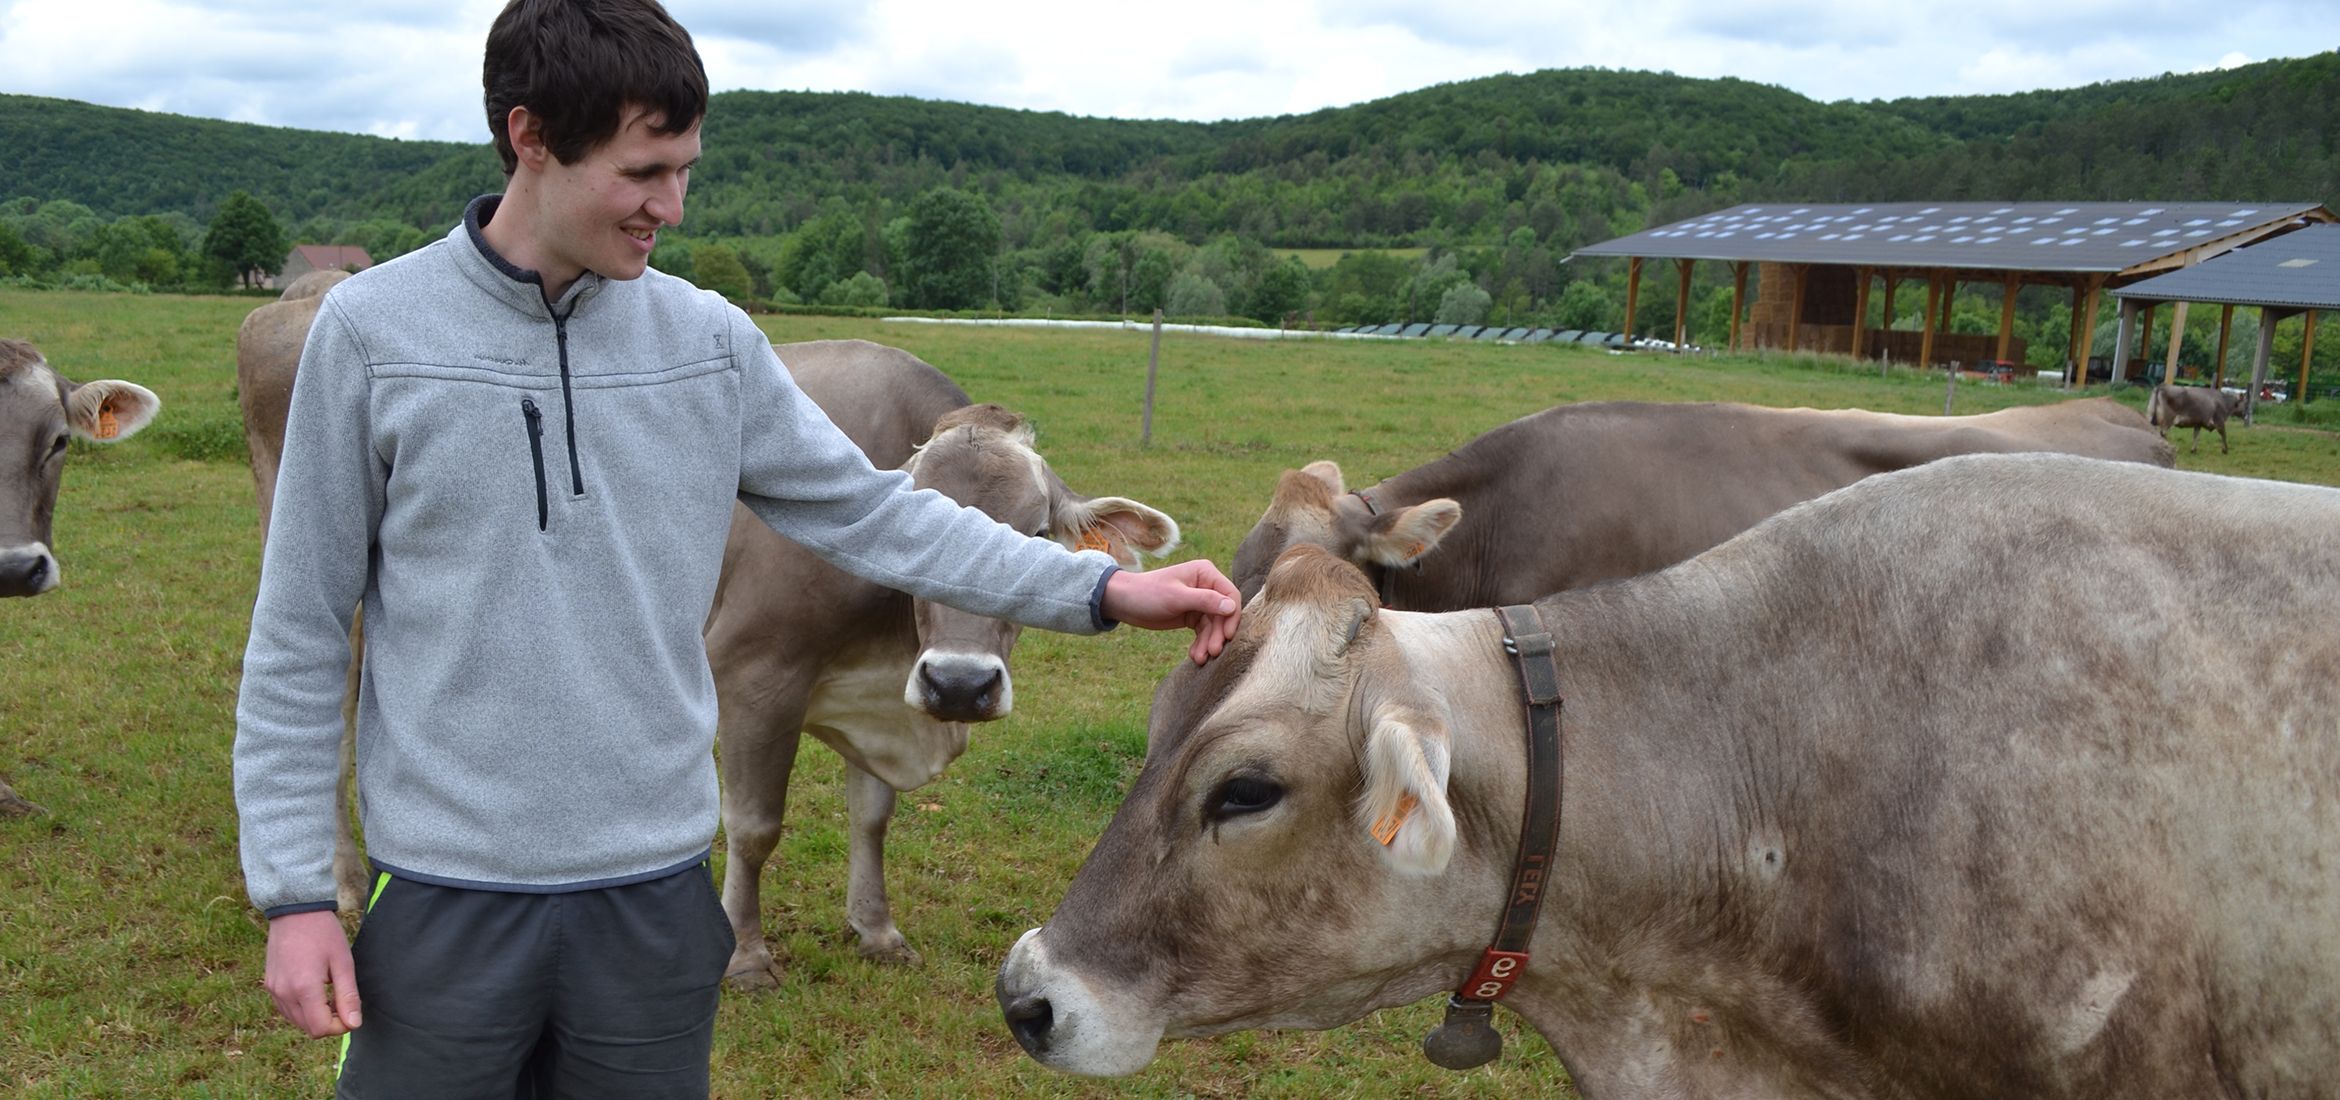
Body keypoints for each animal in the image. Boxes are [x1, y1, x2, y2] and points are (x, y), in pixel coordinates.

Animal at [711, 339, 1179, 982]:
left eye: (1037, 536)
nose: (960, 683)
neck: (887, 642)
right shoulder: (753, 675)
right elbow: (754, 826)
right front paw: (746, 956)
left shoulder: (882, 699)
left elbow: (871, 815)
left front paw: (877, 931)